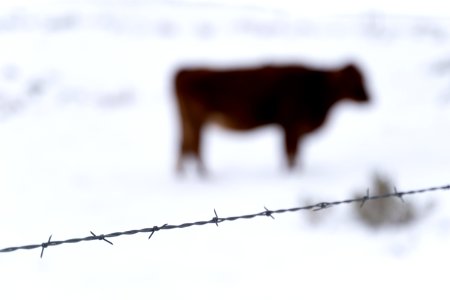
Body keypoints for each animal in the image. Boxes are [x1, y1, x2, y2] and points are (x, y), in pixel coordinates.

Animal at [172, 62, 370, 173]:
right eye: (353, 80)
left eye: (363, 77)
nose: (370, 97)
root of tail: (185, 71)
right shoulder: (291, 126)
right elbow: (290, 154)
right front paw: (292, 173)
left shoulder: (292, 129)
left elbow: (294, 154)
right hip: (197, 121)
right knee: (195, 148)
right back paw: (205, 175)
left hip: (188, 122)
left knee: (184, 146)